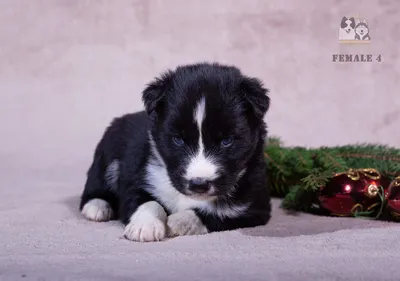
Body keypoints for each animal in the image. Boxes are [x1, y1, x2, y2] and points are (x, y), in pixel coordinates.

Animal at [78, 61, 272, 241]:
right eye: (178, 140)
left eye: (227, 141)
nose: (199, 184)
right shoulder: (138, 176)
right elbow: (146, 201)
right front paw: (145, 226)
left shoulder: (254, 207)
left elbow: (215, 213)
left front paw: (176, 222)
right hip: (106, 155)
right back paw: (97, 207)